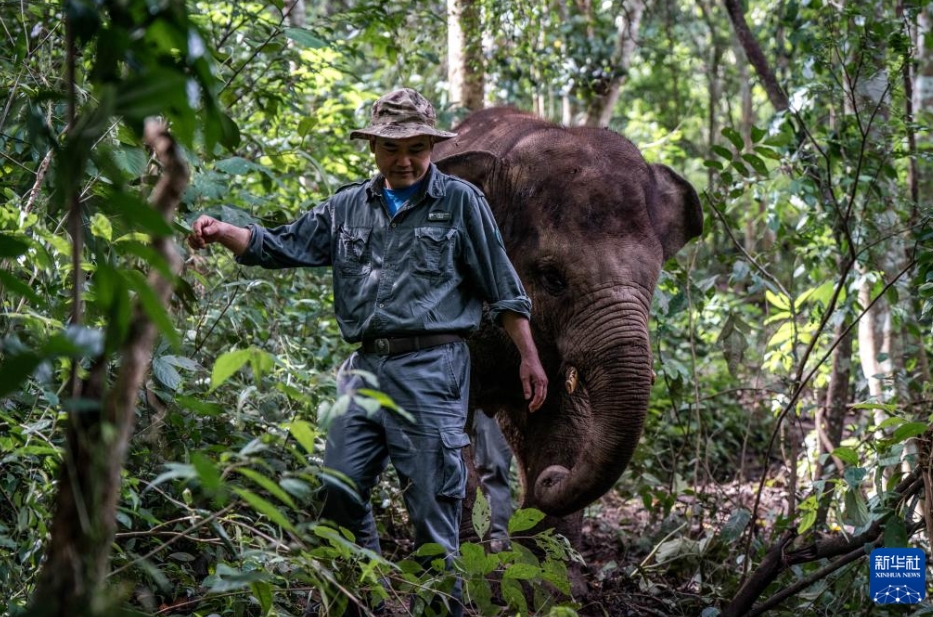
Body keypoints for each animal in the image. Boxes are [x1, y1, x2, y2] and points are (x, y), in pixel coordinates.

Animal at [434, 106, 704, 548]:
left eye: (653, 280)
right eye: (552, 278)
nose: (551, 480)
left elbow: (564, 430)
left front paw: (545, 564)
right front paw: (465, 561)